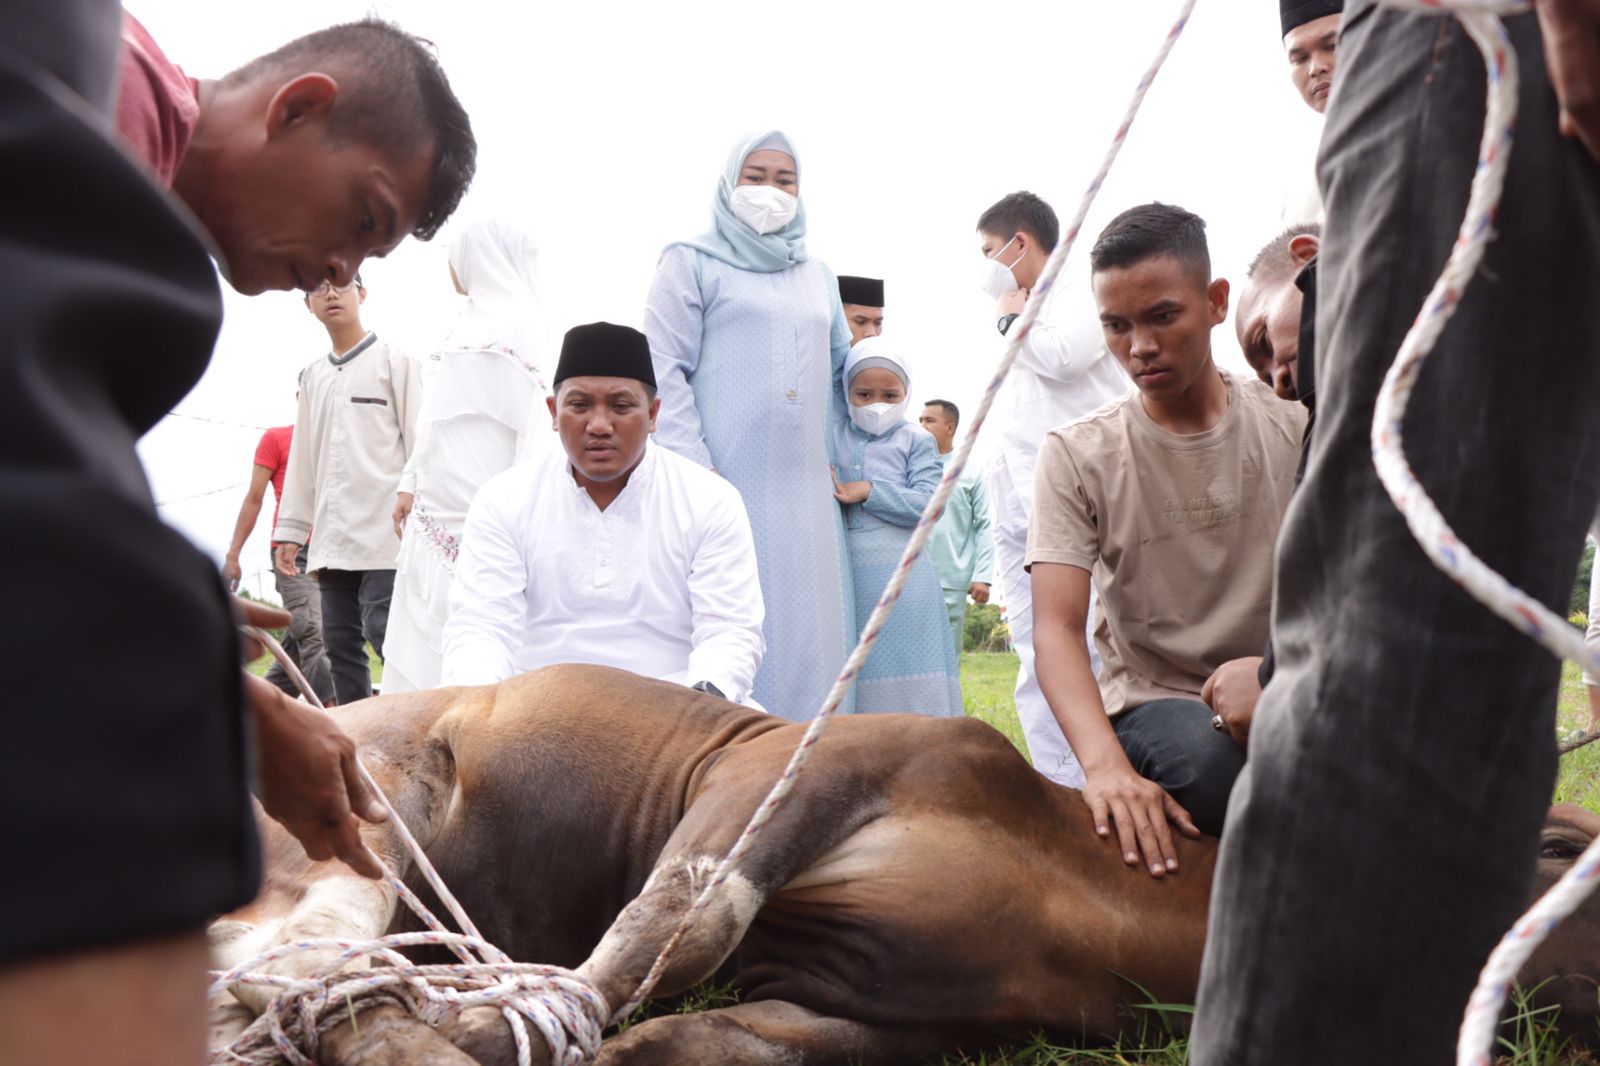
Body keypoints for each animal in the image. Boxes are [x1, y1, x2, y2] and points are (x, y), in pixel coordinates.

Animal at [206, 665, 1600, 1056]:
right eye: (1562, 840)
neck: (1075, 884)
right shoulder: (794, 771)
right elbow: (678, 924)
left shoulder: (872, 1015)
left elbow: (692, 1035)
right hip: (363, 809)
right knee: (282, 952)